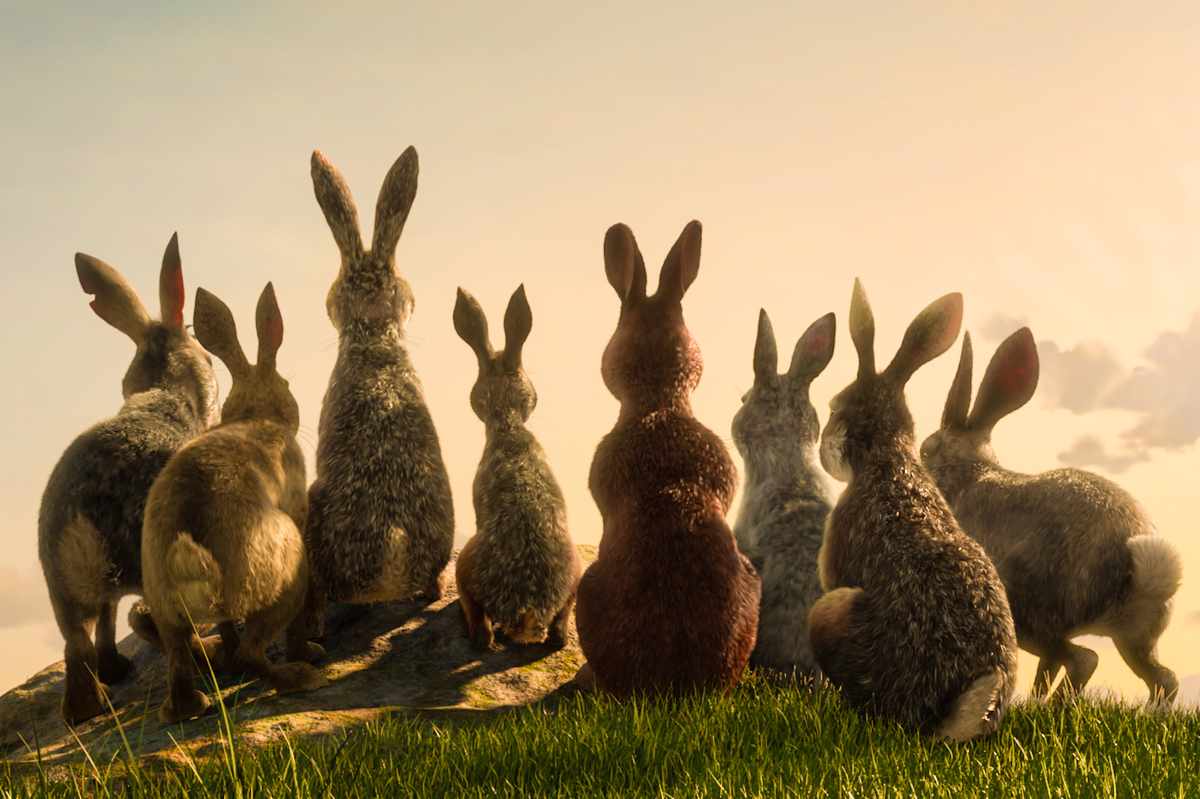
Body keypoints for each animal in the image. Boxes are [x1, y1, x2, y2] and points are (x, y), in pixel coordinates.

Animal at [38, 234, 218, 724]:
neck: (166, 391)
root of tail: (84, 520)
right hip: (161, 560)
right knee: (169, 633)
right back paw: (193, 702)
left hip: (60, 583)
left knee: (83, 639)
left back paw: (95, 699)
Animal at [141, 283, 326, 724]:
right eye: (287, 382)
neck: (256, 415)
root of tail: (188, 556)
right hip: (285, 572)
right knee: (252, 652)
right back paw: (302, 671)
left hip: (166, 610)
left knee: (180, 660)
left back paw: (189, 707)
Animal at [920, 327, 1182, 704]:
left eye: (926, 449)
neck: (967, 469)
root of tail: (1136, 575)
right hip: (1135, 638)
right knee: (1162, 679)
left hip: (1028, 615)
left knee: (1084, 659)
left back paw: (1052, 706)